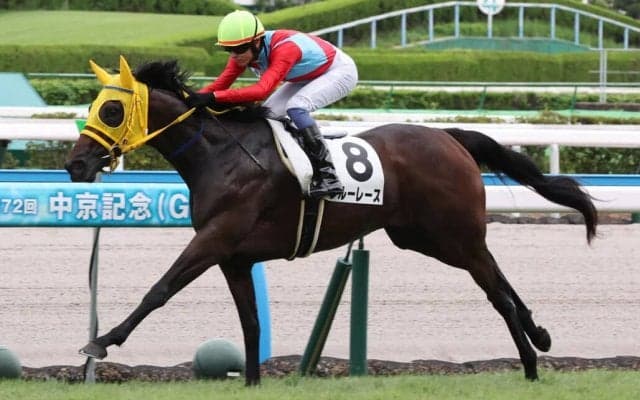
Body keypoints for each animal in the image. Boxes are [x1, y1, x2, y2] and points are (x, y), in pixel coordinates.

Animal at [65, 56, 597, 385]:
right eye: (95, 107)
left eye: (112, 110)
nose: (76, 165)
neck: (220, 156)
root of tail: (450, 137)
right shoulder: (234, 257)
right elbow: (250, 323)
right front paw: (252, 382)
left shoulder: (214, 240)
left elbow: (160, 289)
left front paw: (101, 342)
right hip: (424, 237)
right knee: (497, 275)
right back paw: (540, 335)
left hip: (451, 234)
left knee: (496, 293)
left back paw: (530, 365)